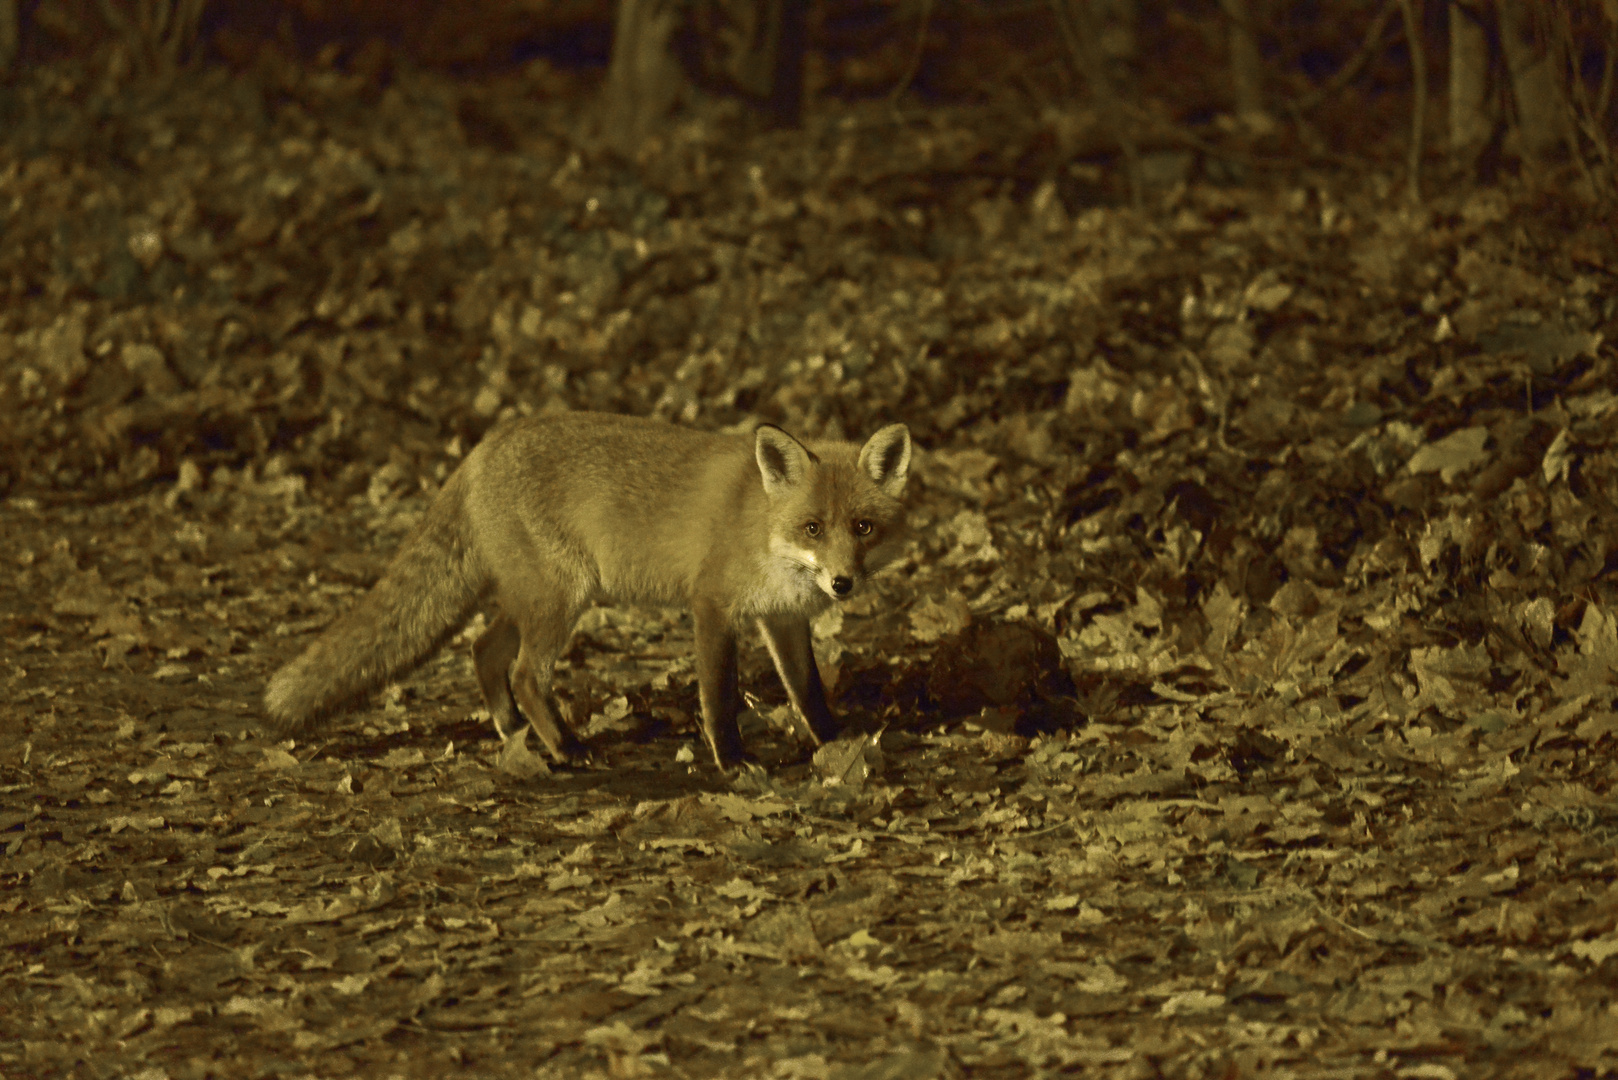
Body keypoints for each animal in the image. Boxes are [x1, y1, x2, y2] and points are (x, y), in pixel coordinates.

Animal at [265, 409, 912, 773]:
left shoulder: (782, 619)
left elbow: (808, 693)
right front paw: (733, 763)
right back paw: (566, 748)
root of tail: (480, 449)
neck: (763, 527)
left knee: (482, 649)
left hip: (538, 598)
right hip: (561, 599)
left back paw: (516, 736)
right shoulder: (711, 607)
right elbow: (719, 698)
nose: (842, 582)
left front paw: (837, 746)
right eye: (813, 528)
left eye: (862, 528)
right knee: (525, 674)